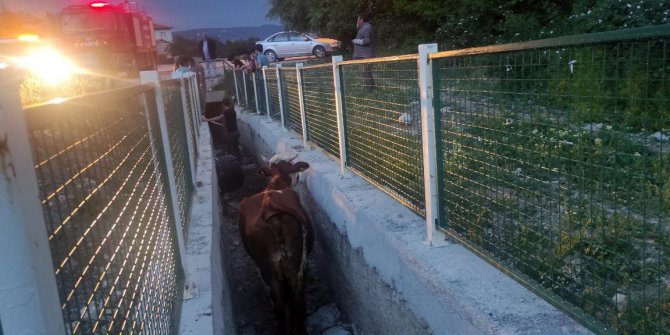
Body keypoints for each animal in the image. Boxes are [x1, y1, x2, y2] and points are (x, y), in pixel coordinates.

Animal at [239, 161, 316, 335]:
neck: (275, 183)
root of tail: (270, 202)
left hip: (268, 269)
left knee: (280, 305)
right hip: (294, 263)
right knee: (296, 301)